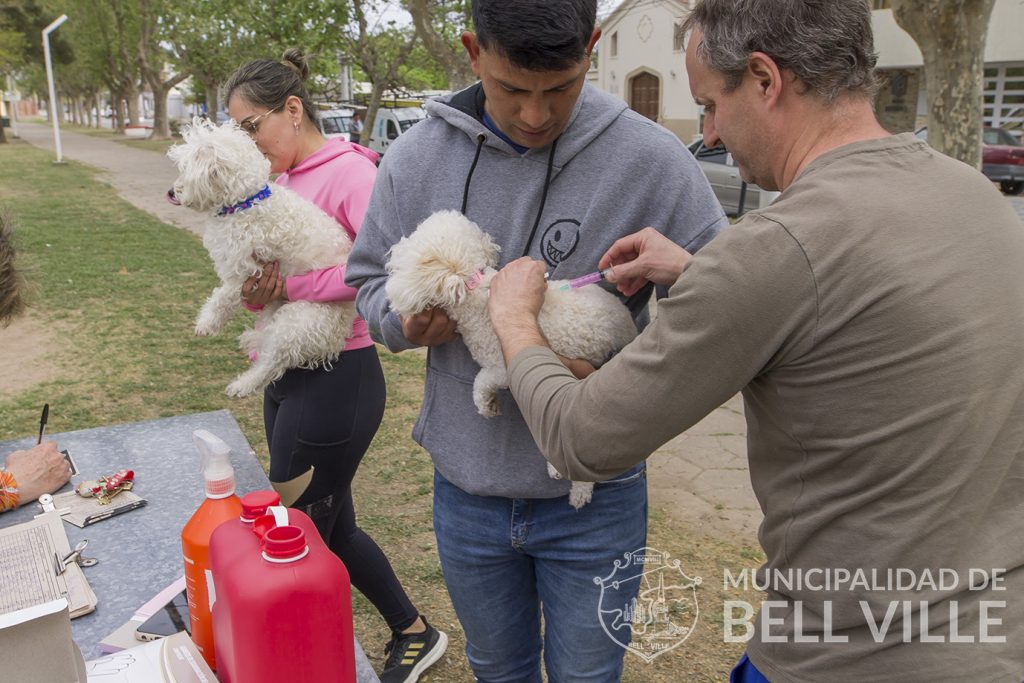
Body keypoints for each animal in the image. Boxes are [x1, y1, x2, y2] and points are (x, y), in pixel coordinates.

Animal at [167, 116, 356, 395]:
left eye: (186, 169)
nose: (171, 192)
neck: (246, 203)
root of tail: (336, 339)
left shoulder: (246, 271)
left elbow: (222, 298)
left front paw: (207, 322)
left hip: (299, 322)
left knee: (273, 363)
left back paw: (244, 383)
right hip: (276, 307)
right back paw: (253, 339)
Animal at [385, 210, 638, 509]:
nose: (393, 253)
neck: (477, 288)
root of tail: (629, 329)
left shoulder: (504, 365)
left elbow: (481, 381)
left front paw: (486, 404)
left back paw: (573, 485)